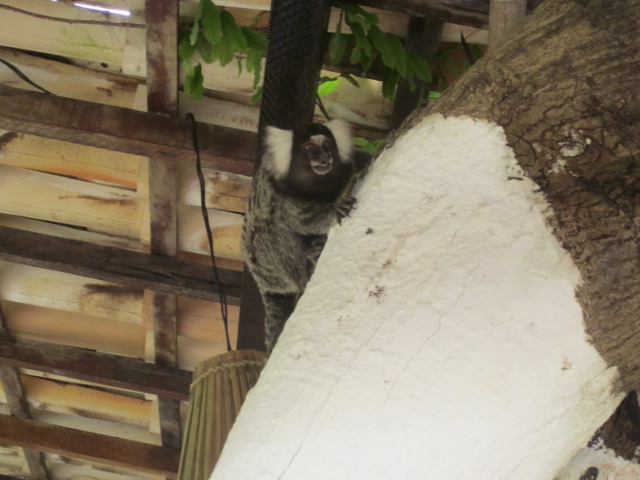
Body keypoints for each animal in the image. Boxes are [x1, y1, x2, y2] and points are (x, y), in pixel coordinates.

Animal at [242, 118, 356, 356]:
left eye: (326, 145)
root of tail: (264, 282)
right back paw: (310, 258)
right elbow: (299, 219)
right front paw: (334, 211)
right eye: (309, 148)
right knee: (267, 232)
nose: (323, 157)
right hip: (272, 264)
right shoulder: (281, 189)